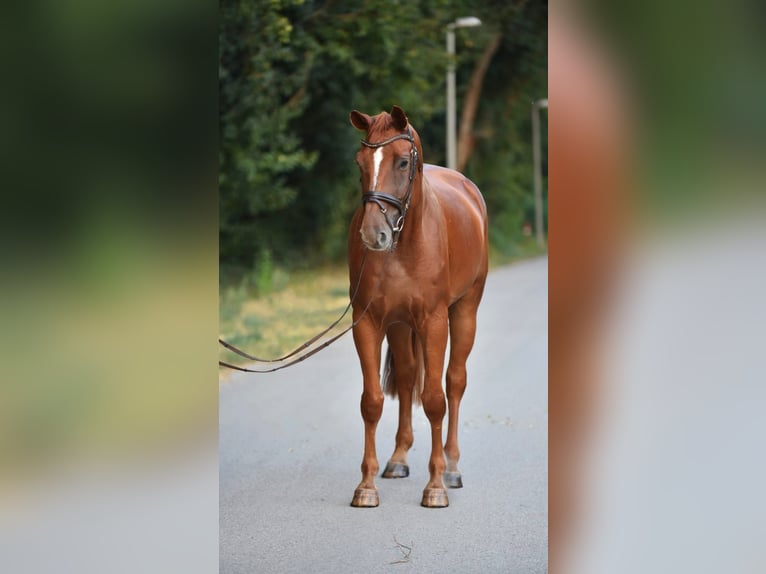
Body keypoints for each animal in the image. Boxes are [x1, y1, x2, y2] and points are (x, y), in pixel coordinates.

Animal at [347, 105, 489, 507]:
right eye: (360, 162)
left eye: (402, 161)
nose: (373, 234)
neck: (404, 246)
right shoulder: (368, 323)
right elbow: (372, 401)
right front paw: (366, 487)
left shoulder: (434, 322)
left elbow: (435, 400)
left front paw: (436, 485)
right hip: (398, 325)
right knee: (409, 377)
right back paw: (397, 459)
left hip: (465, 312)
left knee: (454, 382)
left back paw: (452, 467)